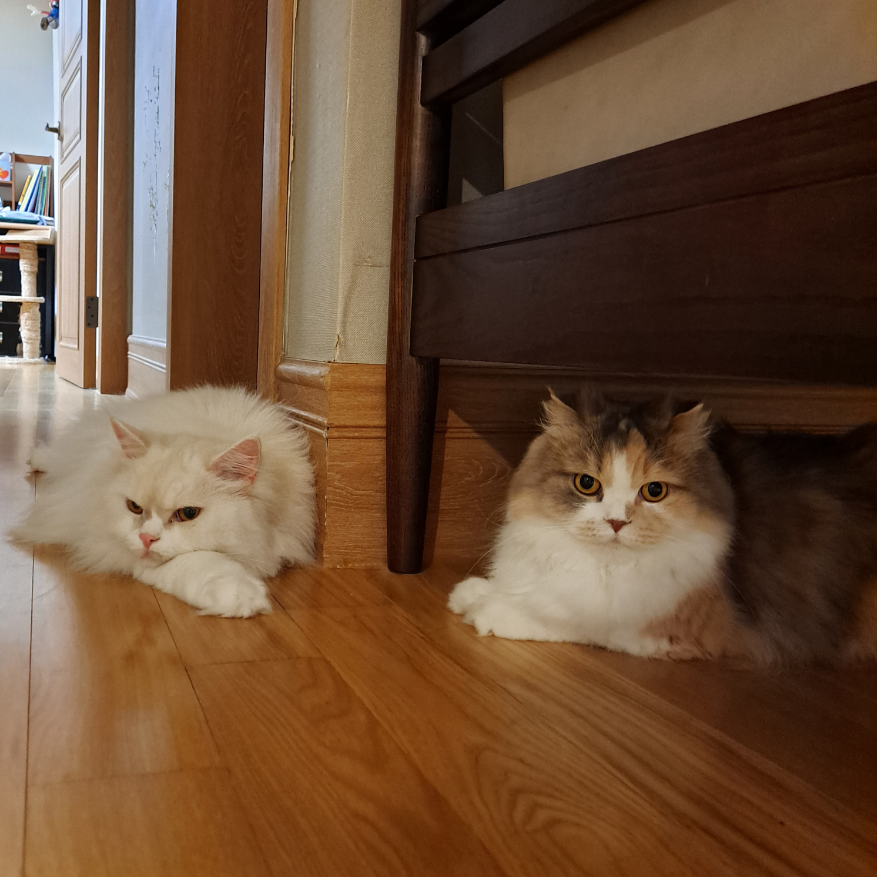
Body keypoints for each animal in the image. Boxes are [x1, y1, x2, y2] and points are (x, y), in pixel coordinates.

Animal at [11, 385, 315, 617]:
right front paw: (239, 595)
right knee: (55, 458)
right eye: (134, 507)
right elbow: (198, 562)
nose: (146, 539)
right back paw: (35, 458)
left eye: (188, 513)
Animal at [448, 389, 877, 665]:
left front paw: (494, 610)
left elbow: (579, 618)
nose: (616, 522)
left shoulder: (676, 628)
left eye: (654, 491)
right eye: (587, 483)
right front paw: (473, 592)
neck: (604, 564)